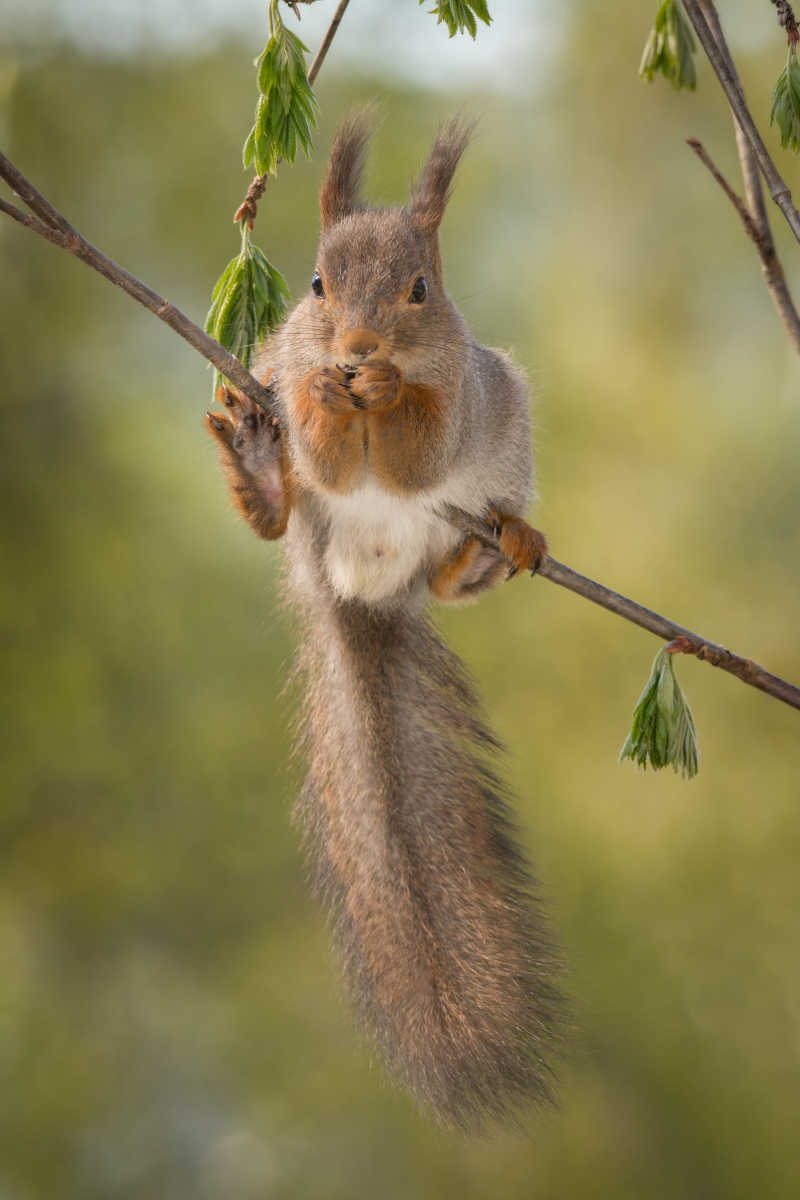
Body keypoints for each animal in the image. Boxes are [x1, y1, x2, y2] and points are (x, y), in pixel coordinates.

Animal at [203, 112, 561, 1123]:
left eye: (420, 290)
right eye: (316, 285)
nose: (358, 347)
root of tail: (359, 594)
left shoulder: (459, 403)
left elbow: (418, 450)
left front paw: (390, 395)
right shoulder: (290, 361)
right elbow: (324, 443)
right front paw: (323, 395)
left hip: (498, 443)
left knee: (447, 572)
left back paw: (490, 551)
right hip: (306, 531)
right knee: (289, 508)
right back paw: (261, 469)